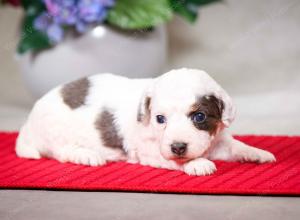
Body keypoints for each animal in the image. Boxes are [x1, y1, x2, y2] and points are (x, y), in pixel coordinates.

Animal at [15, 68, 276, 175]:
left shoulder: (218, 139)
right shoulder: (150, 150)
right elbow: (173, 160)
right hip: (55, 132)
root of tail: (27, 125)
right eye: (160, 119)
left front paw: (256, 152)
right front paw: (197, 163)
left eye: (199, 116)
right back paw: (86, 155)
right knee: (60, 151)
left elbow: (235, 145)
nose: (178, 147)